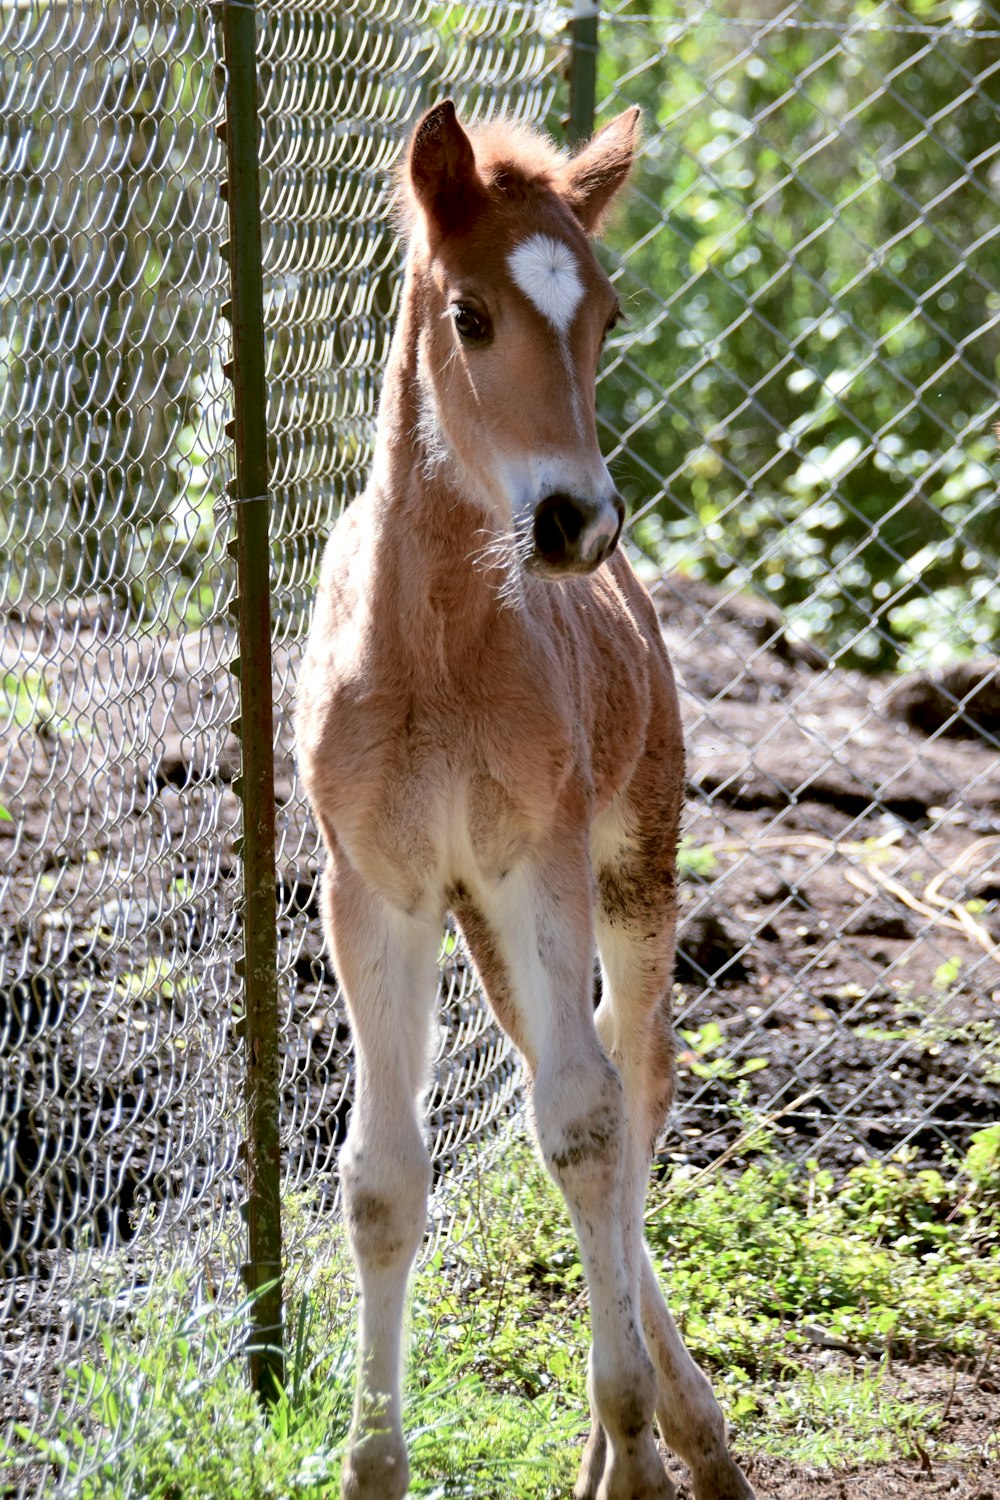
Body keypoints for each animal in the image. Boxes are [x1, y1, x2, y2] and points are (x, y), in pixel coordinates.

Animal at [296, 102, 758, 1500]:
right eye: (470, 313)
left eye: (606, 313)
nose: (574, 520)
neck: (433, 651)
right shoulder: (373, 888)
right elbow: (383, 1178)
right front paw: (373, 1465)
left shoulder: (541, 860)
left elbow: (589, 1127)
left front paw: (640, 1444)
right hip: (487, 925)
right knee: (562, 1069)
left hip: (627, 859)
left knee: (630, 1073)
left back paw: (671, 1435)